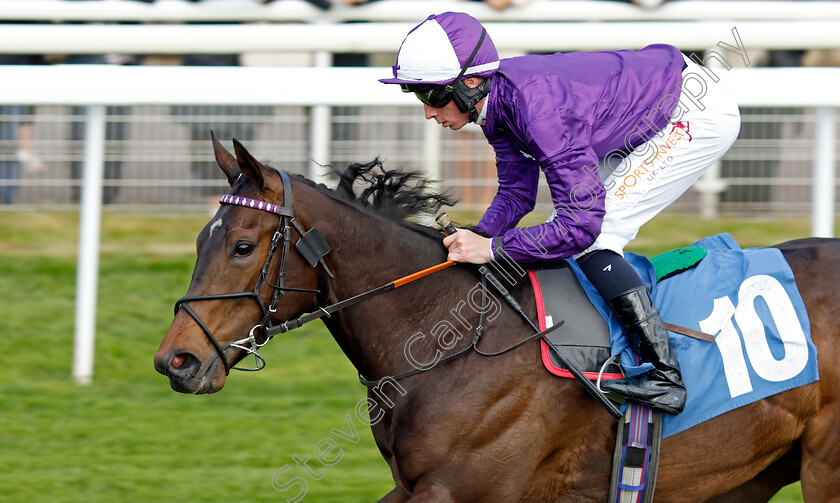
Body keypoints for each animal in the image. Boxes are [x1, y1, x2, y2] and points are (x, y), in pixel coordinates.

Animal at [153, 135, 840, 503]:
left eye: (243, 246)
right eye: (201, 240)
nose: (175, 361)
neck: (449, 336)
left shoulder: (462, 488)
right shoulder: (416, 485)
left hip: (823, 465)